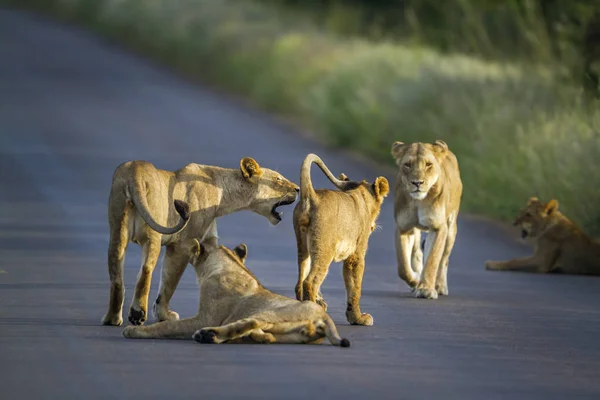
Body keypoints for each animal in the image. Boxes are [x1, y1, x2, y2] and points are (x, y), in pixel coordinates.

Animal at [104, 155, 300, 326]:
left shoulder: (209, 241)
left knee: (116, 275)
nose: (298, 189)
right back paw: (137, 314)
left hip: (117, 229)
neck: (223, 193)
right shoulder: (183, 244)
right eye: (278, 179)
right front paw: (163, 315)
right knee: (146, 269)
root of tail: (135, 170)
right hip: (152, 233)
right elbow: (169, 282)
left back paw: (112, 318)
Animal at [122, 239, 352, 348]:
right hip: (290, 332)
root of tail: (324, 316)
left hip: (272, 312)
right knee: (268, 336)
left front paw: (135, 331)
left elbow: (167, 326)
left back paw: (207, 335)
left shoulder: (205, 317)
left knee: (251, 322)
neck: (228, 264)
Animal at [292, 153, 390, 324]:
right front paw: (359, 318)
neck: (360, 194)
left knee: (300, 282)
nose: (373, 226)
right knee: (310, 281)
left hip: (303, 246)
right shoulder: (356, 254)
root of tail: (312, 196)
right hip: (324, 249)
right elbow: (355, 287)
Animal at [390, 141, 464, 300]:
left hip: (451, 229)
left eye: (428, 164)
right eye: (407, 165)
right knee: (417, 253)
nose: (417, 183)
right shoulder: (403, 227)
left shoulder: (438, 227)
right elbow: (403, 266)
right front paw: (415, 280)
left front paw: (426, 289)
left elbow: (432, 260)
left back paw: (440, 286)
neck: (419, 201)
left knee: (444, 260)